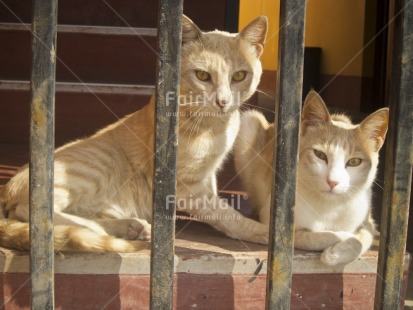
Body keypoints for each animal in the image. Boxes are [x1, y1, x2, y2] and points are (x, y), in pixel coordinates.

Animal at [0, 15, 268, 252]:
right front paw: (260, 231)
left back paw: (128, 227)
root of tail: (7, 188)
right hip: (99, 164)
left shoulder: (208, 174)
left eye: (239, 76)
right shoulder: (186, 186)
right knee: (33, 214)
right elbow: (224, 213)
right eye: (203, 75)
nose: (222, 101)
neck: (215, 126)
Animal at [233, 91, 388, 266]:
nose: (332, 181)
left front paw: (336, 253)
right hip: (248, 122)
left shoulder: (368, 222)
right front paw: (339, 239)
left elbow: (363, 239)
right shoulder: (272, 222)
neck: (329, 208)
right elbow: (308, 236)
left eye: (354, 162)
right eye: (320, 155)